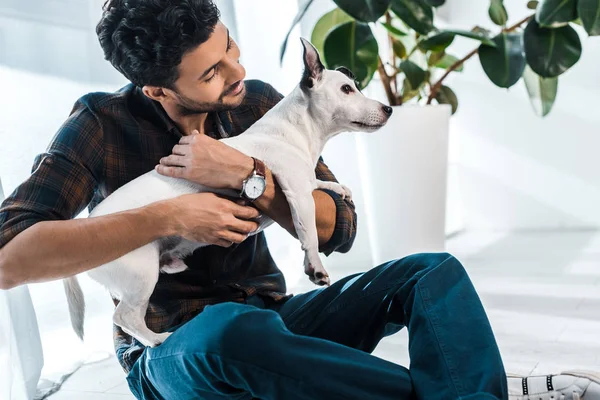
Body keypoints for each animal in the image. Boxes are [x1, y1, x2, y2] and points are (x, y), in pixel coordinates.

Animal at [63, 39, 394, 348]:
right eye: (347, 89)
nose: (389, 108)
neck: (297, 131)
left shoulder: (305, 182)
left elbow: (321, 184)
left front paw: (339, 188)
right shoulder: (297, 193)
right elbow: (309, 233)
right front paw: (315, 267)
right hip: (140, 275)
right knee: (125, 316)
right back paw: (156, 339)